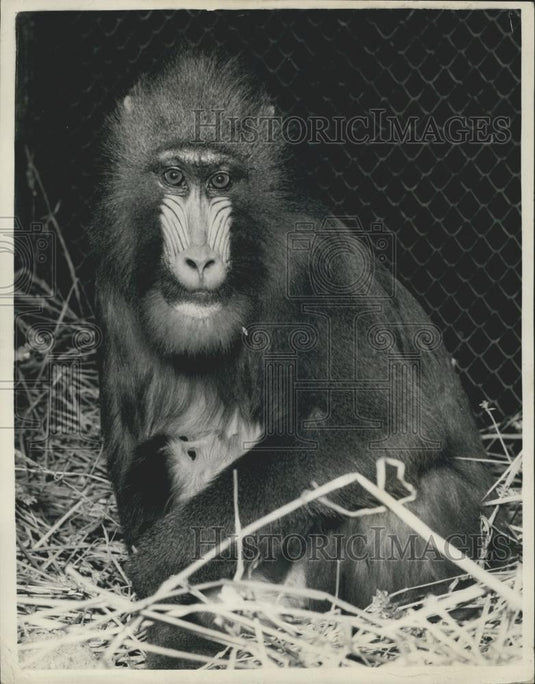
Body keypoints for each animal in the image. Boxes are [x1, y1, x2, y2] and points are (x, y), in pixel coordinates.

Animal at [93, 52, 501, 668]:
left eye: (220, 181)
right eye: (173, 177)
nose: (199, 260)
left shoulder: (315, 262)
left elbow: (390, 424)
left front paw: (163, 566)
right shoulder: (114, 280)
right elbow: (133, 451)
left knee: (389, 503)